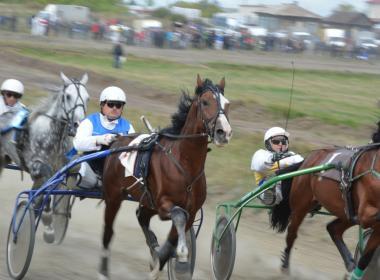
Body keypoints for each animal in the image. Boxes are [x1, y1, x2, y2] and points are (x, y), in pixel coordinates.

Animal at [98, 75, 232, 280]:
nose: (223, 132)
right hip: (114, 197)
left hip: (147, 201)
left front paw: (161, 262)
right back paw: (103, 272)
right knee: (108, 231)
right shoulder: (164, 205)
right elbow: (179, 216)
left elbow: (173, 238)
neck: (185, 164)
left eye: (227, 103)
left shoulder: (191, 211)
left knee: (141, 216)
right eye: (205, 102)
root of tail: (117, 140)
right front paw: (180, 258)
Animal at [272, 122, 380, 280]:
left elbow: (366, 257)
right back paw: (285, 268)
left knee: (333, 228)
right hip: (301, 205)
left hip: (346, 213)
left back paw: (350, 264)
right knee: (292, 233)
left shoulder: (374, 226)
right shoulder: (365, 214)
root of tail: (309, 158)